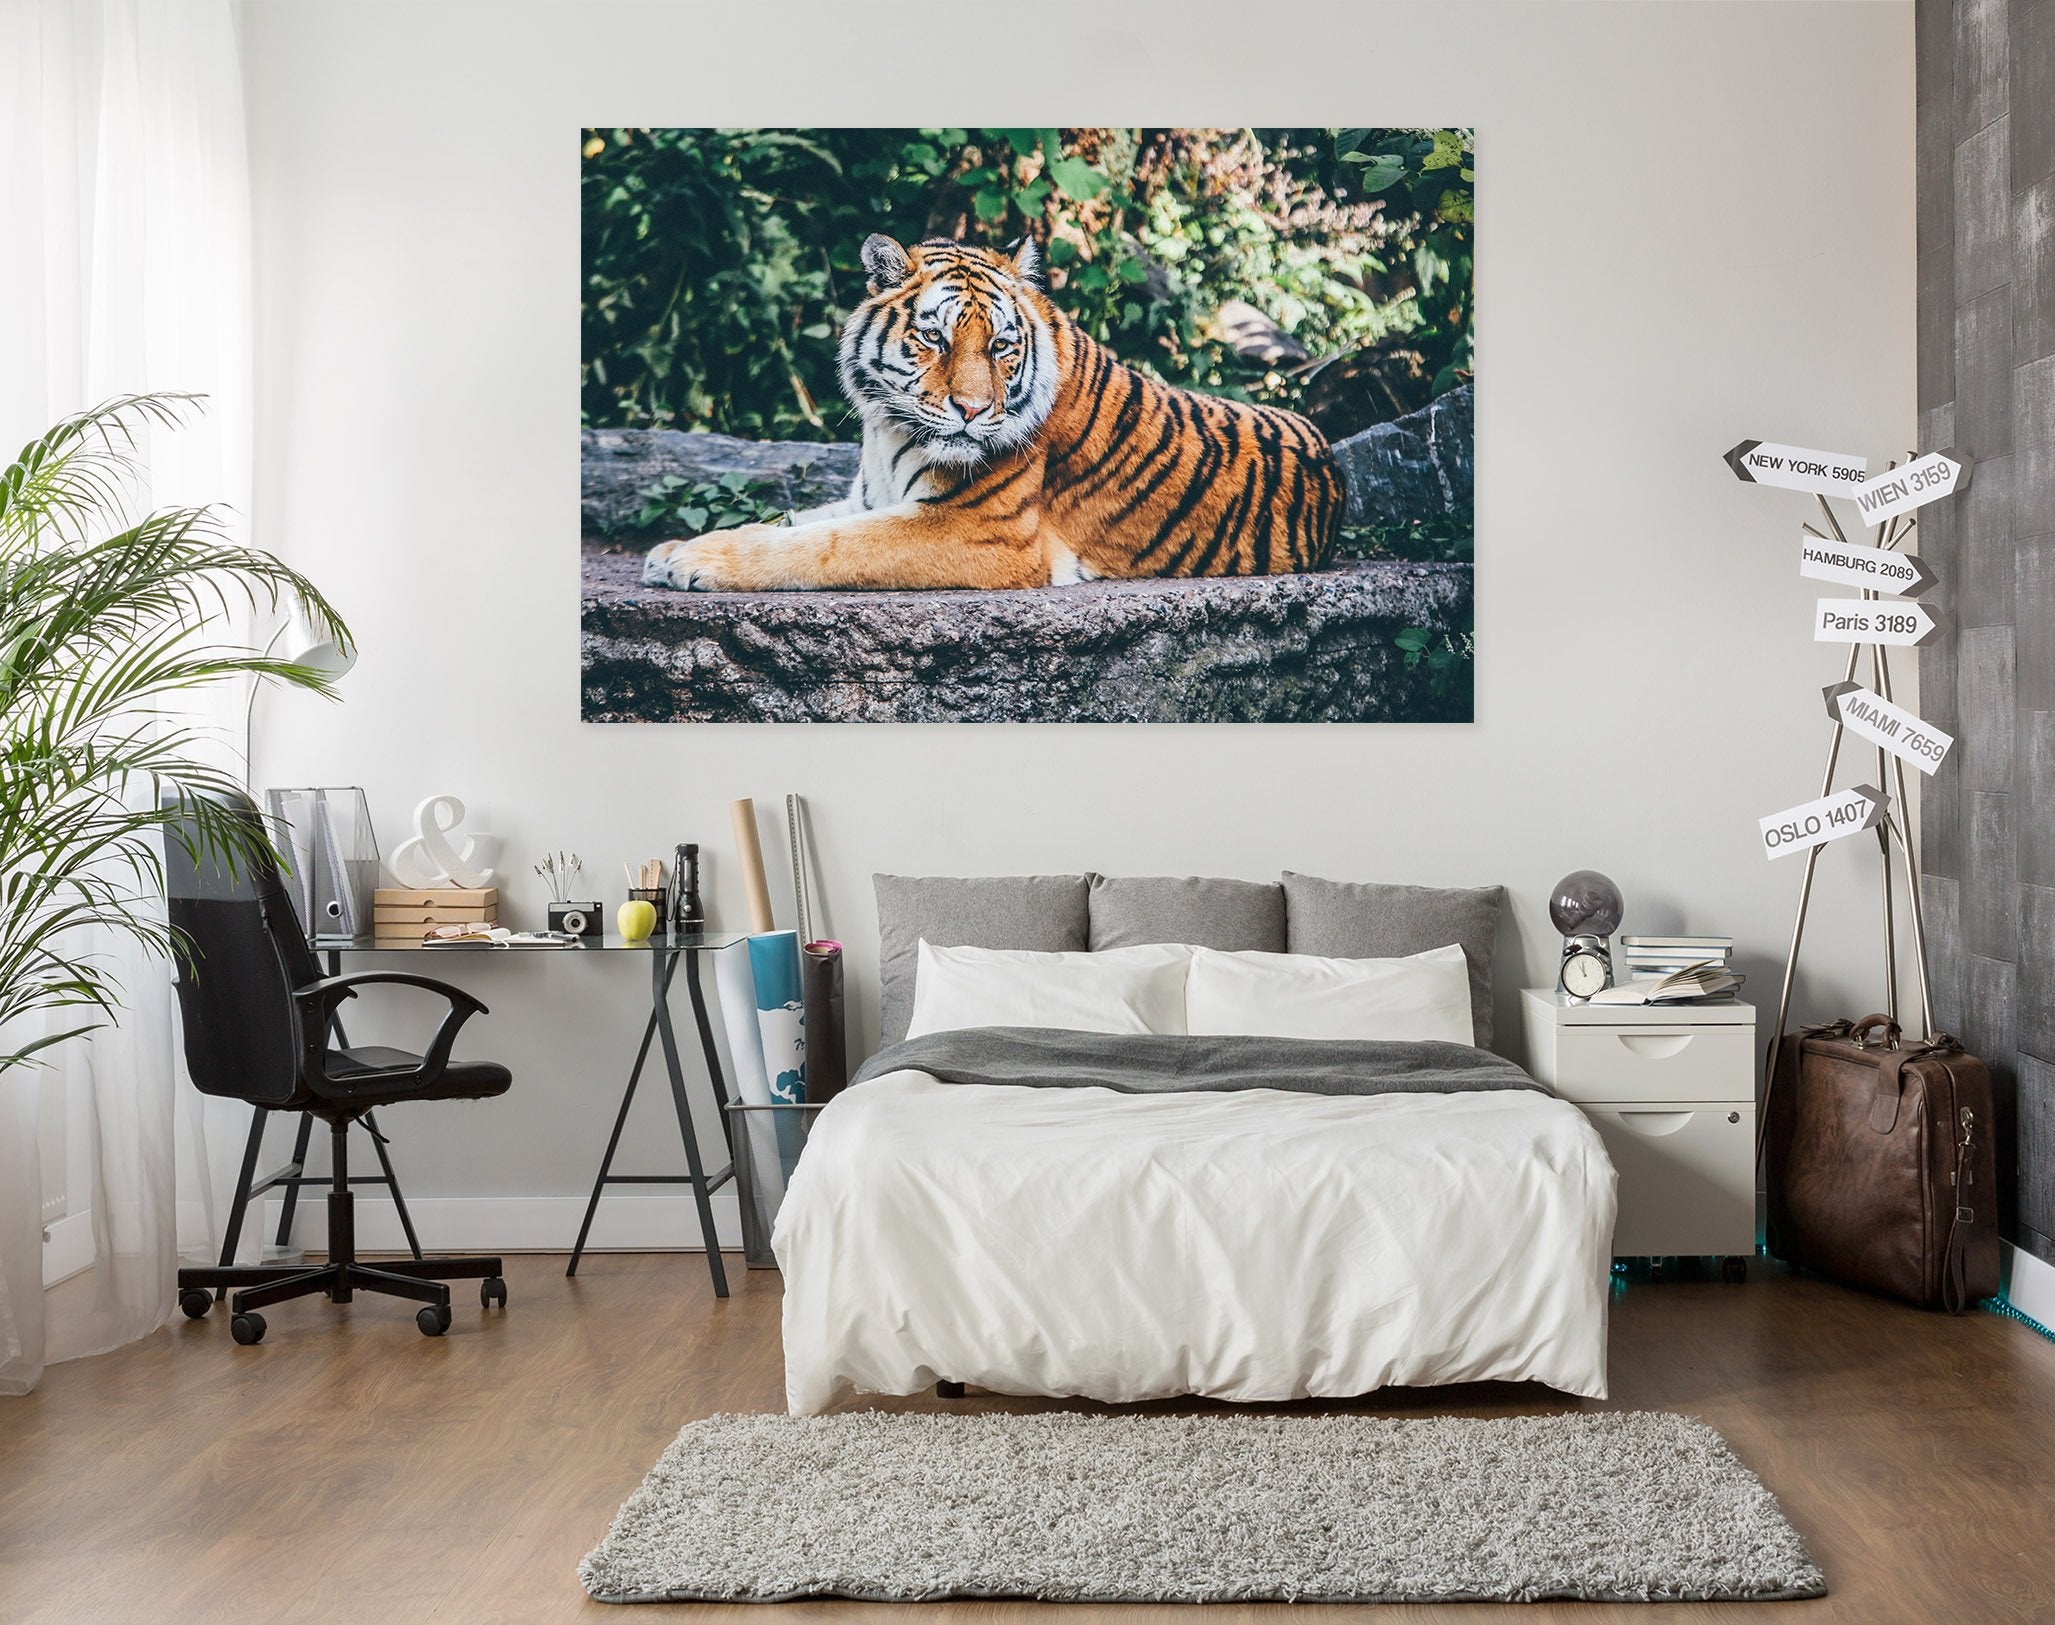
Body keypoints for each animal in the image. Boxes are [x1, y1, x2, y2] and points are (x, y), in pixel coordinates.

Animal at [641, 232, 1346, 593]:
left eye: (1002, 346)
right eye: (934, 338)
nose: (974, 410)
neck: (886, 431)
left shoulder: (978, 531)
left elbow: (822, 546)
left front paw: (695, 562)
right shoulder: (870, 497)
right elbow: (793, 521)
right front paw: (672, 549)